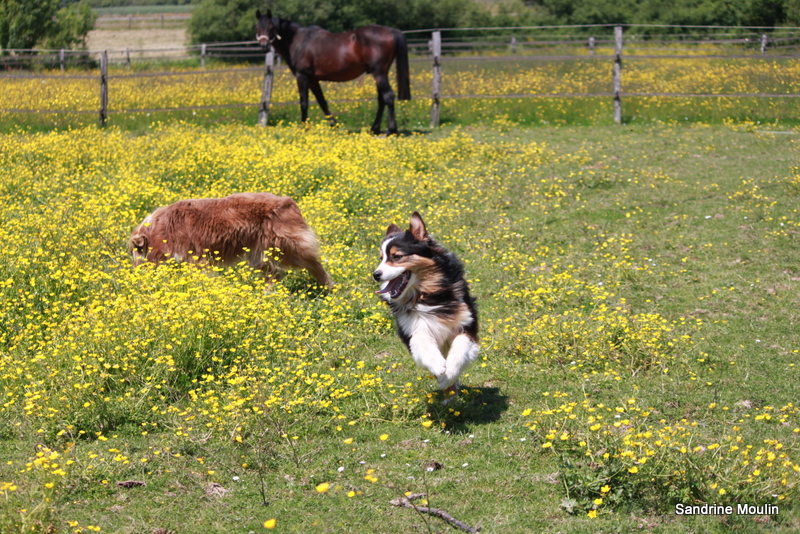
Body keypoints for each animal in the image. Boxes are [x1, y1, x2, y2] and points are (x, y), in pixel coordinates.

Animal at [255, 9, 410, 135]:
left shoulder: (302, 77)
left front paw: (304, 127)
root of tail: (392, 31)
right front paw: (333, 124)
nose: (264, 46)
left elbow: (304, 102)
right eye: (258, 27)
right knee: (382, 99)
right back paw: (374, 129)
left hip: (379, 73)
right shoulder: (313, 80)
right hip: (378, 74)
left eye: (271, 27)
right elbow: (322, 102)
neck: (298, 41)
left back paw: (391, 130)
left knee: (388, 97)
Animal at [374, 213, 478, 394]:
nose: (376, 274)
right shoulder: (412, 326)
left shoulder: (467, 320)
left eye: (397, 256)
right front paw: (438, 367)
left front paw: (448, 375)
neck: (427, 295)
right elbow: (419, 339)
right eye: (381, 258)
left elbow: (461, 346)